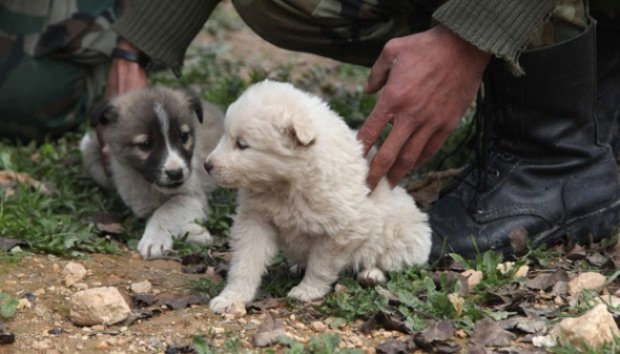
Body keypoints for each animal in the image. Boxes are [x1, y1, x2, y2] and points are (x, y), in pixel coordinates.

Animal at [78, 85, 223, 258]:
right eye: (145, 144)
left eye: (184, 136)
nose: (176, 173)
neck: (153, 188)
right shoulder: (140, 202)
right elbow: (157, 212)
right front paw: (193, 232)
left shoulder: (193, 195)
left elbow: (167, 209)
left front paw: (155, 241)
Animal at [206, 80, 428, 312]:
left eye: (242, 145)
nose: (207, 165)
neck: (285, 185)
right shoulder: (255, 220)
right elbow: (245, 261)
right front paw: (231, 297)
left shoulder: (339, 232)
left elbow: (321, 265)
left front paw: (307, 290)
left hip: (402, 235)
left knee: (388, 260)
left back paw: (371, 274)